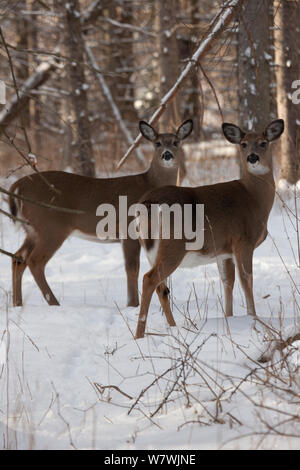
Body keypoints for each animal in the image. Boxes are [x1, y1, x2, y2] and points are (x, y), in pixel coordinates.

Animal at [9, 119, 193, 306]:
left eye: (176, 142)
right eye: (157, 143)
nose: (167, 155)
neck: (149, 184)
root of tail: (17, 186)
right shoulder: (128, 230)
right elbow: (132, 269)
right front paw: (132, 304)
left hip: (32, 229)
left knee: (18, 257)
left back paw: (17, 303)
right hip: (51, 227)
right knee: (34, 261)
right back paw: (54, 303)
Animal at [135, 117, 284, 338]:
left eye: (263, 142)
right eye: (243, 144)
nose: (253, 157)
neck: (254, 197)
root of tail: (148, 204)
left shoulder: (224, 251)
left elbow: (228, 282)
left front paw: (229, 318)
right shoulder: (243, 241)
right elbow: (246, 280)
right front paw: (253, 318)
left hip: (150, 248)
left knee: (161, 287)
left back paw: (173, 328)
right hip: (174, 244)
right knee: (149, 279)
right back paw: (139, 335)